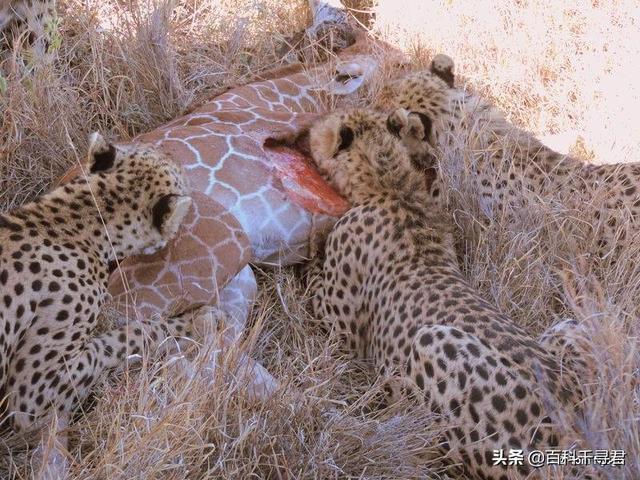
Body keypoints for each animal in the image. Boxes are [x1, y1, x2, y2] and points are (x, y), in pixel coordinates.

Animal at [302, 109, 588, 480]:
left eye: (325, 126)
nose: (307, 128)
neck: (391, 184)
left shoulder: (342, 330)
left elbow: (317, 292)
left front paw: (312, 242)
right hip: (570, 328)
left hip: (433, 343)